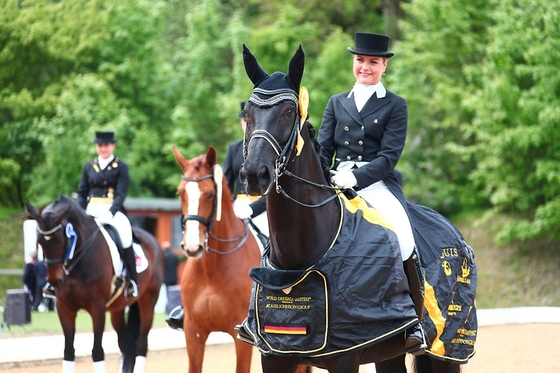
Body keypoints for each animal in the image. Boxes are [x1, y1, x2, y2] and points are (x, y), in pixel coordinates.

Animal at [26, 195, 163, 372]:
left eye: (61, 239)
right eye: (39, 241)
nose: (54, 280)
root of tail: (153, 240)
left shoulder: (97, 308)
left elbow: (97, 352)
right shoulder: (65, 308)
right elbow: (68, 351)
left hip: (147, 303)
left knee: (141, 344)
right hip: (117, 308)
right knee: (123, 343)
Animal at [236, 44, 476, 372]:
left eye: (289, 112)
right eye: (248, 112)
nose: (254, 175)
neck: (297, 261)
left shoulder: (346, 357)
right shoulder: (273, 356)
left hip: (446, 347)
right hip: (389, 351)